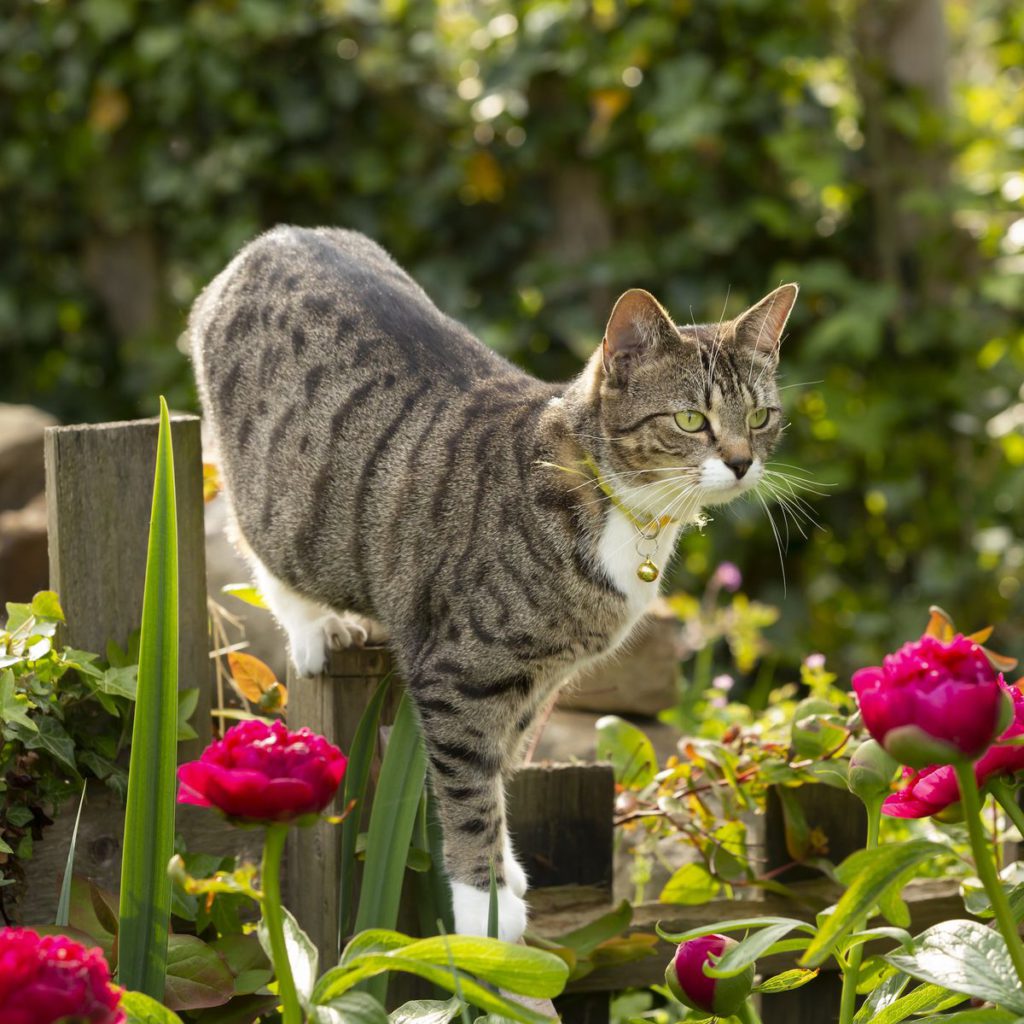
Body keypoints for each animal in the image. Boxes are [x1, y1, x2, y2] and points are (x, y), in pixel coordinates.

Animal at [192, 226, 798, 942]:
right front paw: (485, 902)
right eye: (689, 421)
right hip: (281, 508)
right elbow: (469, 784)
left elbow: (504, 763)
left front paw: (506, 870)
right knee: (255, 542)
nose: (741, 462)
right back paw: (316, 628)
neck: (621, 507)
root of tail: (274, 237)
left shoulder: (540, 680)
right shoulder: (458, 673)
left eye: (759, 417)